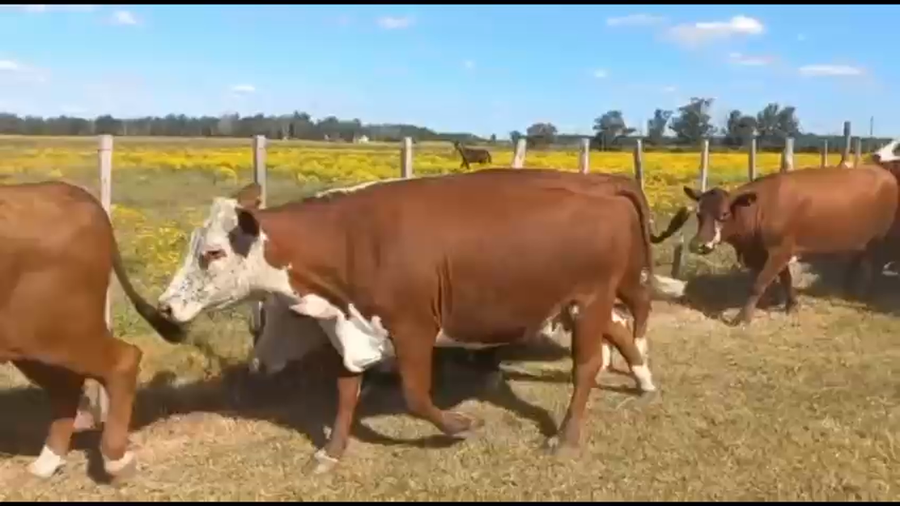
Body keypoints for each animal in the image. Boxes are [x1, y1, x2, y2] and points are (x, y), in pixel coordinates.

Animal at [0, 181, 185, 480]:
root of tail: (72, 192)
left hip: (59, 329)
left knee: (122, 360)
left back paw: (116, 460)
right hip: (32, 342)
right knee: (66, 387)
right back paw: (47, 462)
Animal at [157, 168, 661, 474]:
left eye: (212, 253)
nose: (165, 307)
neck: (350, 241)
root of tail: (601, 185)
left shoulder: (414, 327)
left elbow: (417, 396)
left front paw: (462, 425)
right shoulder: (354, 329)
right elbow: (345, 394)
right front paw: (331, 453)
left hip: (589, 301)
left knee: (587, 365)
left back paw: (567, 436)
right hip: (574, 305)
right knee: (620, 332)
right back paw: (643, 380)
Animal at [673, 164, 900, 325]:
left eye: (724, 214)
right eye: (698, 213)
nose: (698, 245)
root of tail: (885, 173)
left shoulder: (779, 251)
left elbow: (759, 284)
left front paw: (742, 318)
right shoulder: (773, 252)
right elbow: (786, 279)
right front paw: (792, 305)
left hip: (881, 238)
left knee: (875, 263)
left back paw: (864, 293)